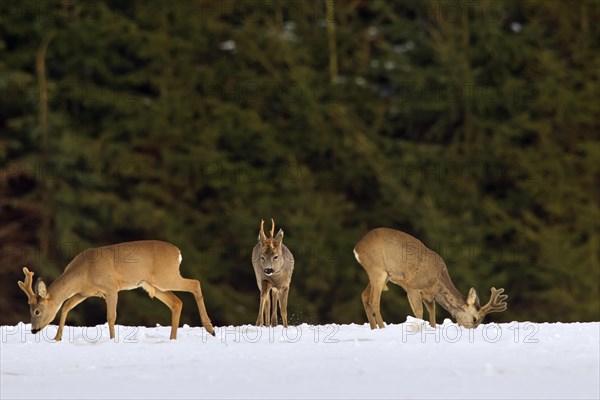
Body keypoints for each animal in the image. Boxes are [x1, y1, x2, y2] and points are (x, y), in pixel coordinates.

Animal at [17, 241, 216, 340]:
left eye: (37, 311)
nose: (33, 330)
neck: (84, 272)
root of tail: (178, 252)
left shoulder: (111, 288)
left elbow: (111, 316)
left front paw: (112, 340)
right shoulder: (85, 292)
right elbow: (66, 306)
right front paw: (57, 338)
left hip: (166, 277)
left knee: (195, 284)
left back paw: (210, 329)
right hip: (152, 284)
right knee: (177, 302)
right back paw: (172, 339)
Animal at [354, 228, 508, 328]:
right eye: (475, 319)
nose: (470, 330)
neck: (437, 280)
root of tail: (357, 248)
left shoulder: (429, 295)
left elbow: (432, 313)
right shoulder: (412, 286)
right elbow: (419, 312)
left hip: (384, 275)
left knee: (364, 296)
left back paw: (374, 328)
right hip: (377, 270)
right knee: (374, 301)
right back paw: (382, 328)